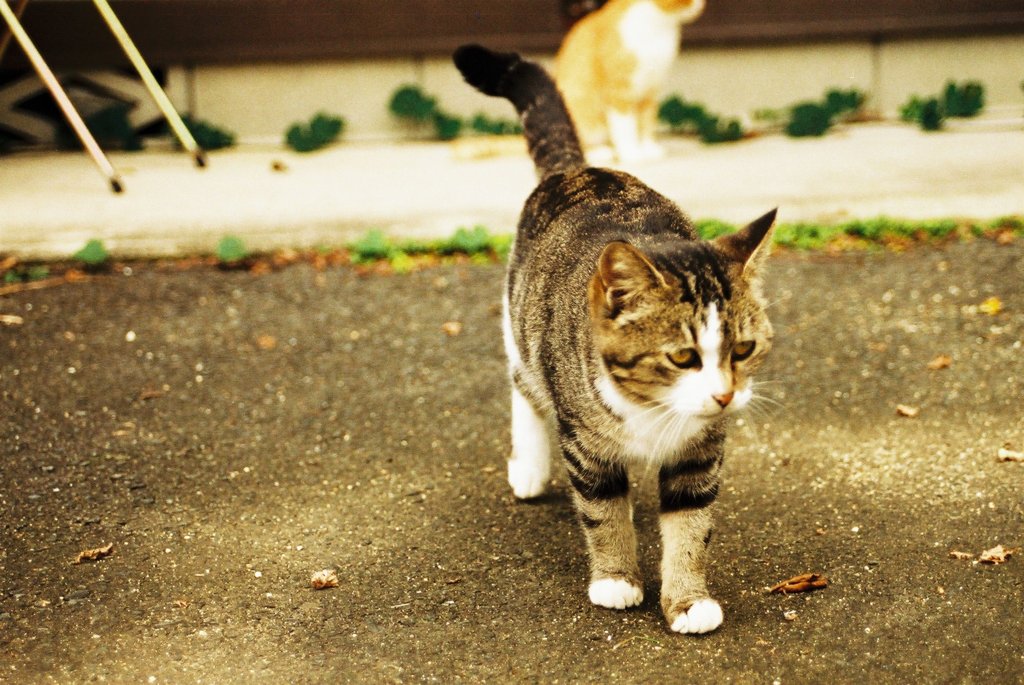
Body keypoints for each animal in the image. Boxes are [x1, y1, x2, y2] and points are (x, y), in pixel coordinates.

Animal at [456, 42, 774, 634]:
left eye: (743, 349)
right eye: (683, 356)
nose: (725, 395)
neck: (652, 411)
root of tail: (577, 170)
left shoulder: (700, 452)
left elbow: (690, 526)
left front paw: (688, 600)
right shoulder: (585, 444)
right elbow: (603, 514)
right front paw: (616, 580)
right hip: (524, 325)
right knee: (523, 384)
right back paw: (529, 467)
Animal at [552, 0, 704, 162]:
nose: (700, 4)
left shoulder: (651, 89)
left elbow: (647, 122)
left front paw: (648, 148)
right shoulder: (619, 92)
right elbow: (624, 127)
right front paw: (631, 153)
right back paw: (599, 153)